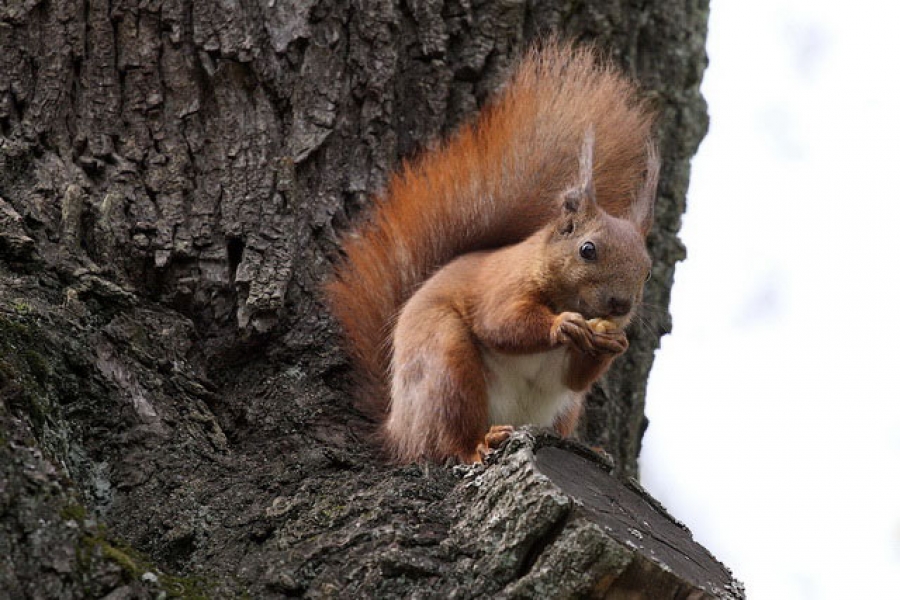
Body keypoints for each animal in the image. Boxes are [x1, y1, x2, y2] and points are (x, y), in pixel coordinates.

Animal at [326, 42, 656, 464]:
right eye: (587, 250)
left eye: (647, 272)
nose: (620, 305)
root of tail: (397, 427)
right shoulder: (501, 285)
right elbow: (501, 323)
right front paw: (561, 325)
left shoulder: (571, 369)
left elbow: (573, 377)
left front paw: (614, 343)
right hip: (447, 364)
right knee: (447, 437)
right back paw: (478, 444)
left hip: (565, 408)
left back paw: (590, 447)